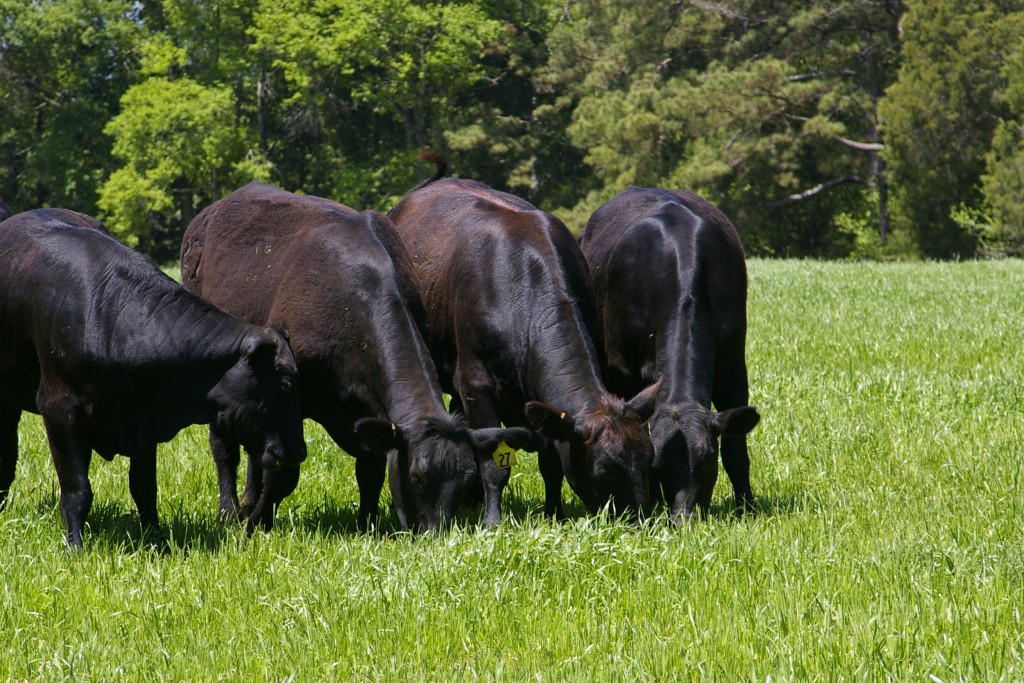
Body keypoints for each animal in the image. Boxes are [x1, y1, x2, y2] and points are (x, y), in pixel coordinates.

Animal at [0, 205, 305, 548]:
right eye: (285, 382)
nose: (299, 451)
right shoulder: (58, 407)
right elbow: (77, 488)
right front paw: (74, 547)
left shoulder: (142, 420)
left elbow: (144, 487)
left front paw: (156, 540)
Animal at [182, 183, 536, 532]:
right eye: (417, 478)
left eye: (465, 482)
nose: (437, 534)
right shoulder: (289, 403)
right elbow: (284, 470)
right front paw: (260, 523)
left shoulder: (368, 410)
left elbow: (370, 470)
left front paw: (367, 523)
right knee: (224, 448)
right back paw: (229, 512)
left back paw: (246, 501)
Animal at [387, 175, 659, 524]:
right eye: (603, 471)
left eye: (649, 461)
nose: (641, 523)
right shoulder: (475, 385)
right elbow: (493, 462)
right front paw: (492, 520)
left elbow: (552, 463)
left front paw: (555, 513)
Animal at [581, 189, 757, 520]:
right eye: (657, 465)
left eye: (706, 458)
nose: (682, 518)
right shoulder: (622, 373)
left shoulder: (734, 368)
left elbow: (736, 450)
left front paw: (748, 508)